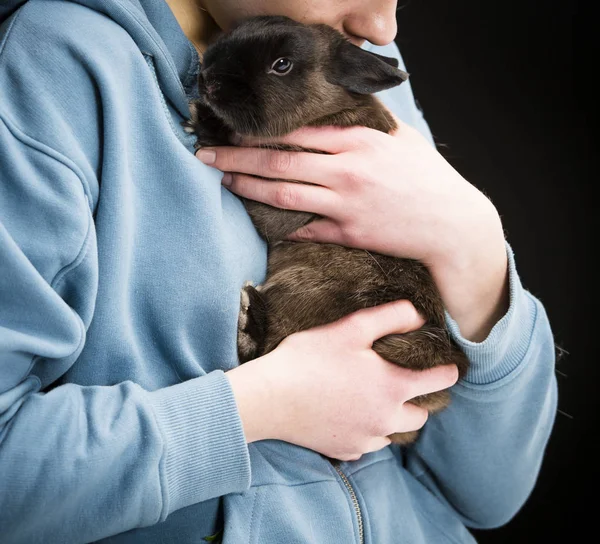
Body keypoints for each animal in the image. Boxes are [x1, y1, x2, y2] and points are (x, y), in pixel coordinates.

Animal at [183, 14, 468, 444]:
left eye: (281, 65)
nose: (209, 80)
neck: (325, 111)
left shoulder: (287, 205)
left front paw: (207, 123)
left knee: (264, 349)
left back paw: (249, 318)